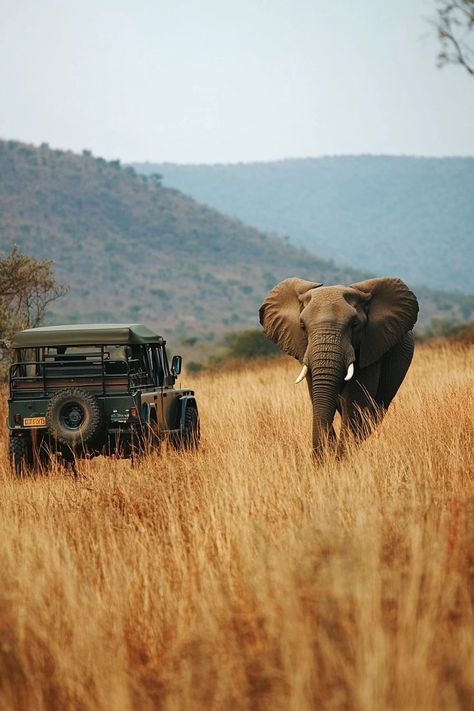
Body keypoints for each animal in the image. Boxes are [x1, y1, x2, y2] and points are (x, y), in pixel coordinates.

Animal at [260, 276, 418, 458]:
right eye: (302, 326)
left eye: (354, 324)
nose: (316, 460)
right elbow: (317, 397)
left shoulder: (370, 347)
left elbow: (355, 400)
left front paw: (341, 458)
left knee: (374, 412)